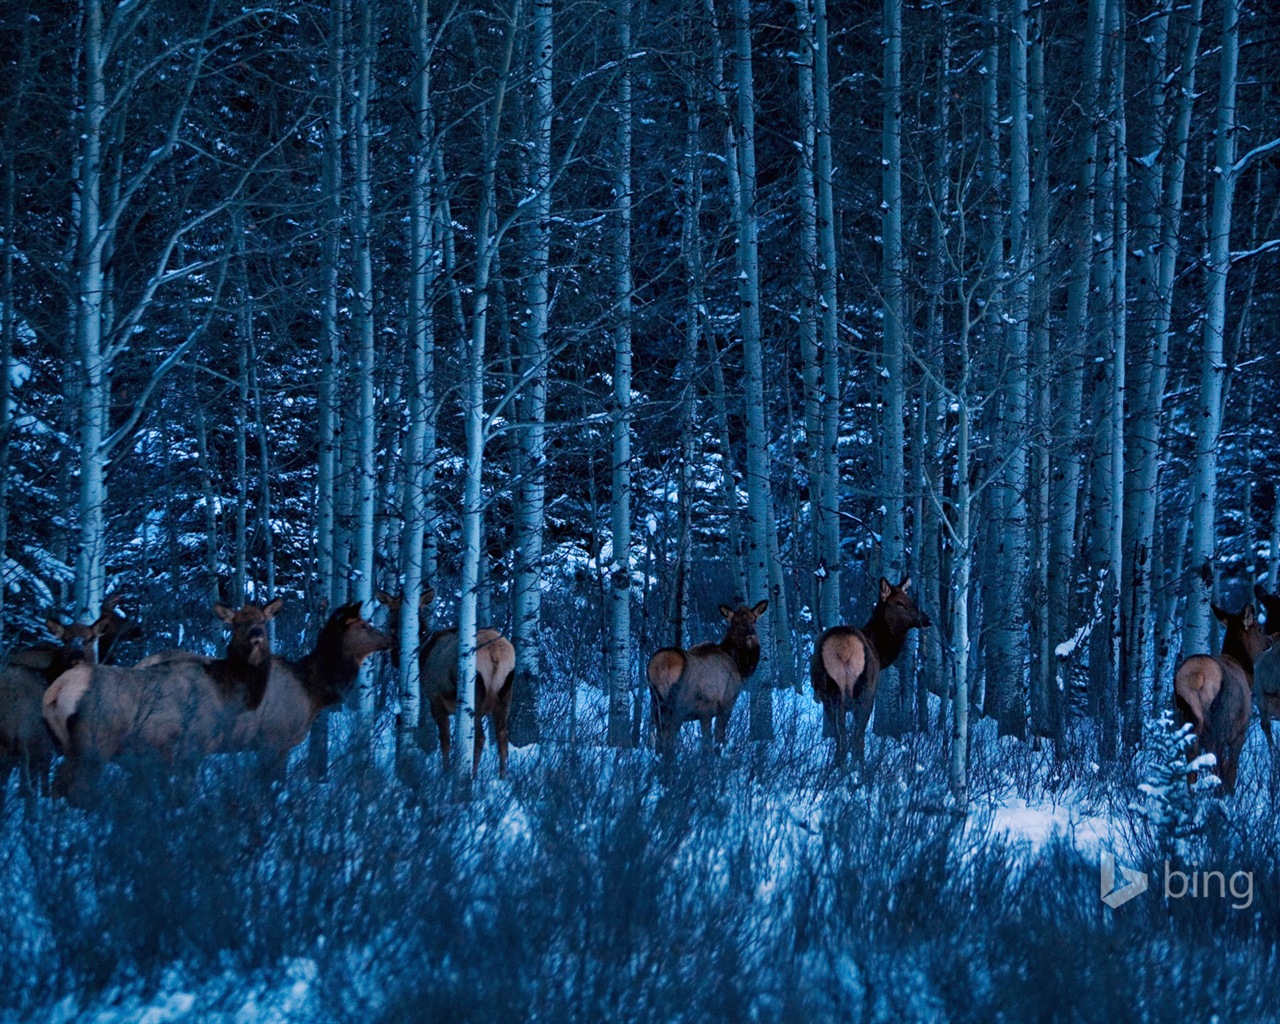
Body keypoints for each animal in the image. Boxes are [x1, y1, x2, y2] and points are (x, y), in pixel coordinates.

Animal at [45, 596, 288, 803]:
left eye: (263, 620)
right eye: (237, 624)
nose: (256, 634)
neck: (226, 691)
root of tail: (55, 691)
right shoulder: (191, 744)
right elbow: (184, 792)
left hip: (67, 746)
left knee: (57, 788)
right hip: (95, 743)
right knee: (77, 790)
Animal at [376, 588, 517, 778]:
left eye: (415, 610)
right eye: (391, 608)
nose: (394, 629)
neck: (423, 655)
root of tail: (495, 652)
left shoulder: (435, 698)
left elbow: (444, 739)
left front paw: (445, 772)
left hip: (475, 692)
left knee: (480, 737)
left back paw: (470, 775)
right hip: (506, 692)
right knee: (503, 735)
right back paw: (502, 776)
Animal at [645, 596, 762, 757]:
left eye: (754, 619)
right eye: (736, 622)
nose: (751, 633)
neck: (739, 666)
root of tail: (661, 665)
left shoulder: (705, 712)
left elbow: (707, 742)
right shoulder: (727, 701)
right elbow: (719, 737)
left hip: (656, 702)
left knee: (659, 739)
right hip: (678, 705)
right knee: (669, 739)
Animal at [808, 576, 931, 768]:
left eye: (909, 598)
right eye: (899, 602)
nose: (926, 618)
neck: (881, 653)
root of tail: (843, 648)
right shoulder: (870, 692)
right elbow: (858, 736)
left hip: (828, 692)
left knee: (840, 737)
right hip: (863, 690)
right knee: (854, 737)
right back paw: (857, 770)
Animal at [1177, 604, 1269, 793]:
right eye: (1259, 628)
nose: (1270, 642)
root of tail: (1195, 677)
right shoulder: (1239, 732)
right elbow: (1231, 771)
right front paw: (1230, 794)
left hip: (1186, 721)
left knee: (1192, 767)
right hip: (1219, 723)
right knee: (1217, 765)